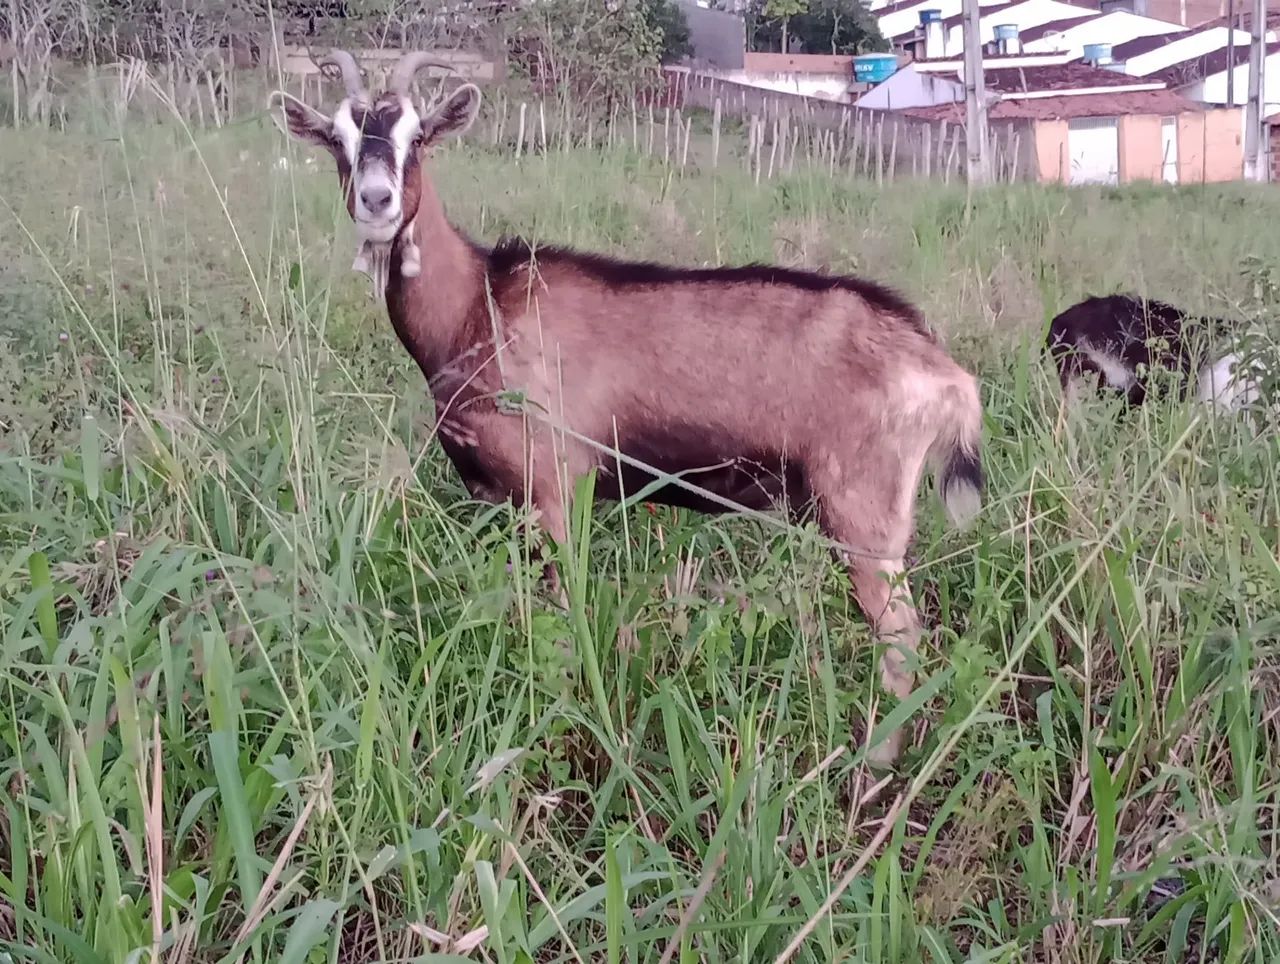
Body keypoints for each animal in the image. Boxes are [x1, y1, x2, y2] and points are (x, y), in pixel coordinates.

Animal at [269, 49, 986, 767]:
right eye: (336, 137)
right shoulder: (492, 496)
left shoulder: (556, 486)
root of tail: (941, 370)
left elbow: (569, 613)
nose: (376, 201)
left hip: (864, 513)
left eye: (418, 137)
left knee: (901, 632)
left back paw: (877, 763)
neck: (479, 304)